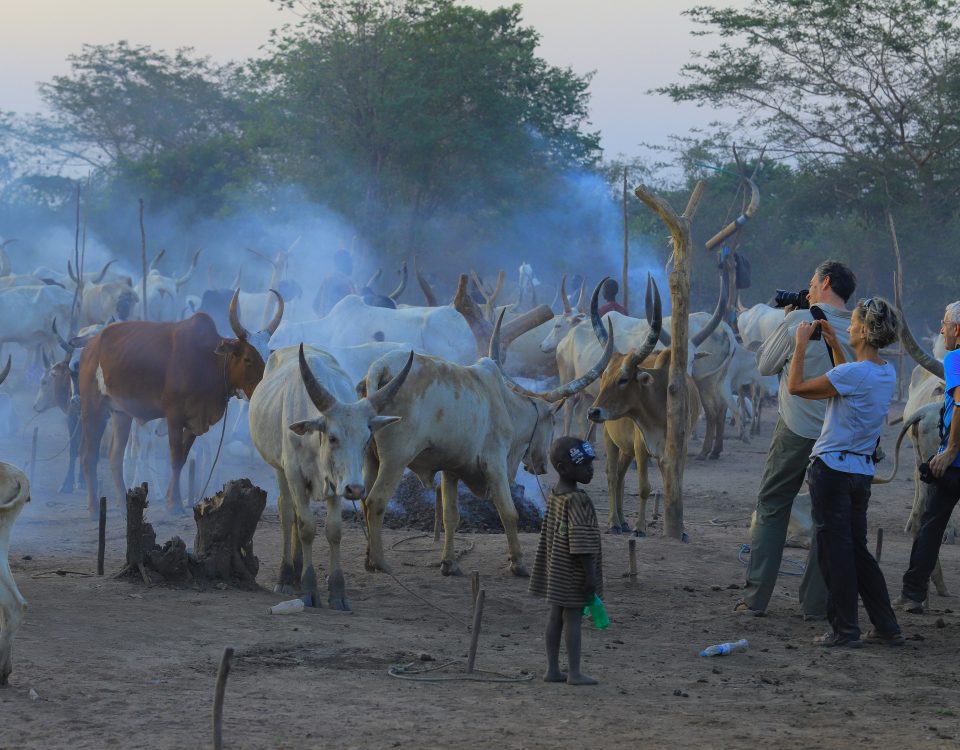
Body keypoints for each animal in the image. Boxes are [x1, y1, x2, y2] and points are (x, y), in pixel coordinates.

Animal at [78, 289, 282, 516]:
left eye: (267, 357)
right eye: (247, 359)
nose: (263, 389)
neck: (206, 360)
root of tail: (90, 346)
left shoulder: (195, 420)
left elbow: (183, 458)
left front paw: (172, 499)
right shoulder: (174, 416)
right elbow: (175, 458)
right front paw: (173, 504)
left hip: (120, 413)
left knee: (115, 457)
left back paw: (123, 505)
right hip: (93, 409)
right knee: (89, 456)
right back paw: (93, 507)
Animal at [249, 345, 412, 609]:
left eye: (367, 438)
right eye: (333, 437)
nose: (356, 490)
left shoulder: (337, 483)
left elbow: (333, 530)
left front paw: (337, 592)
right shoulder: (294, 474)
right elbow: (306, 527)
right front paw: (309, 588)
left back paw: (296, 571)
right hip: (280, 470)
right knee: (287, 513)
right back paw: (287, 576)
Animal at [357, 312, 615, 577]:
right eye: (552, 420)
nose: (542, 466)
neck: (505, 404)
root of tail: (380, 367)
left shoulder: (451, 470)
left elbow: (451, 517)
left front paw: (449, 563)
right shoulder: (495, 464)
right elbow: (509, 512)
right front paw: (518, 563)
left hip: (370, 458)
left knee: (365, 502)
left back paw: (368, 559)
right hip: (395, 459)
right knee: (375, 501)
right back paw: (380, 563)